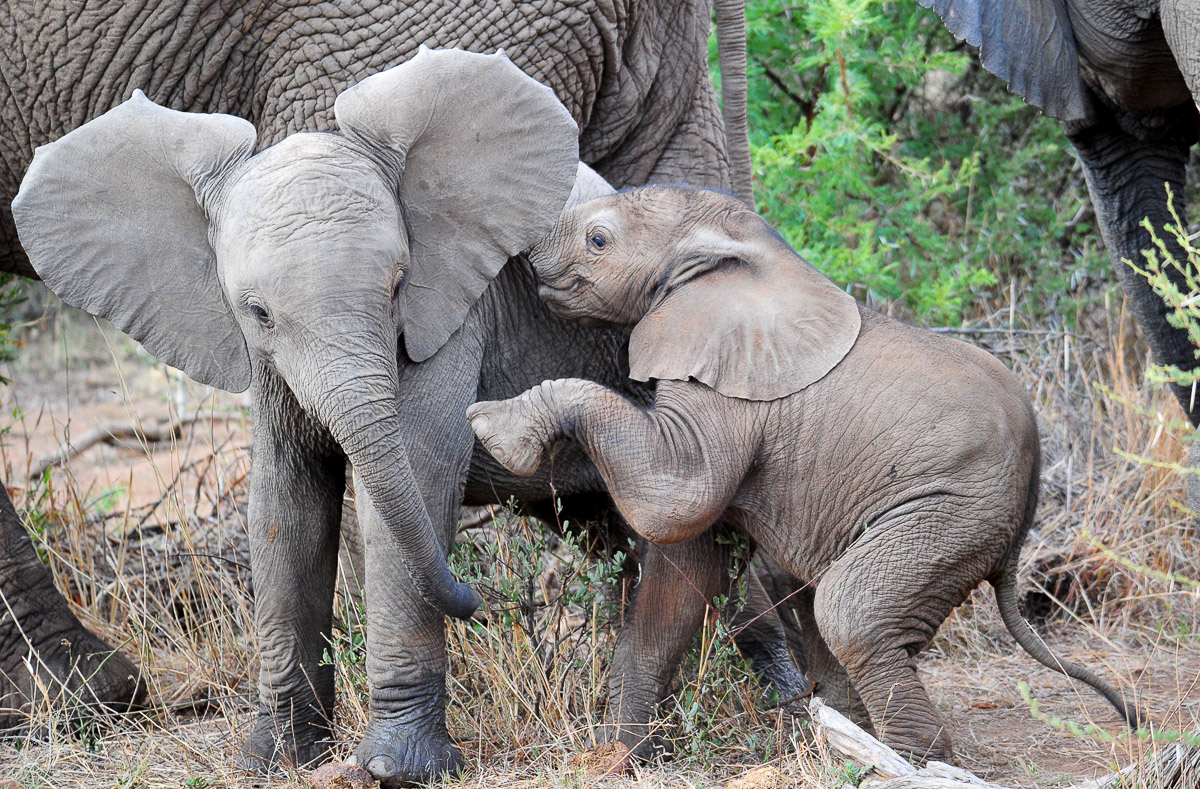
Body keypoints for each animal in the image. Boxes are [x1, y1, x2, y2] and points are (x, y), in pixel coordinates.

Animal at [10, 42, 815, 785]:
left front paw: (397, 768)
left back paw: (786, 717)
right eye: (258, 311)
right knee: (616, 536)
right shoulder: (261, 361)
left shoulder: (455, 311)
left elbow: (417, 479)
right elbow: (284, 503)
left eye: (398, 285)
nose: (480, 603)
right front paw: (273, 760)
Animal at [466, 185, 1140, 763]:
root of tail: (1028, 507)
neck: (741, 250)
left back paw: (905, 762)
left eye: (599, 240)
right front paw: (620, 757)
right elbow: (684, 576)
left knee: (850, 611)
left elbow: (676, 500)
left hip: (953, 509)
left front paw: (491, 425)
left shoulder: (730, 386)